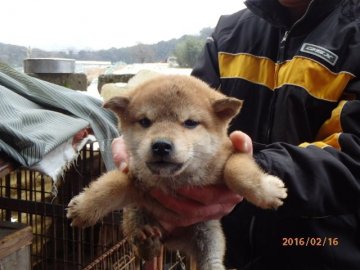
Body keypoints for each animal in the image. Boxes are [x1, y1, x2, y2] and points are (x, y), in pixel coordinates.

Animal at [67, 74, 286, 270]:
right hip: (135, 214)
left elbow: (236, 172)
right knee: (141, 246)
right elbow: (108, 186)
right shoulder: (133, 175)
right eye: (145, 122)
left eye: (190, 123)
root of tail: (173, 241)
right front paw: (84, 207)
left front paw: (267, 191)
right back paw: (148, 243)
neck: (175, 179)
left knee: (210, 261)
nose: (161, 146)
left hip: (208, 234)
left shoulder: (233, 153)